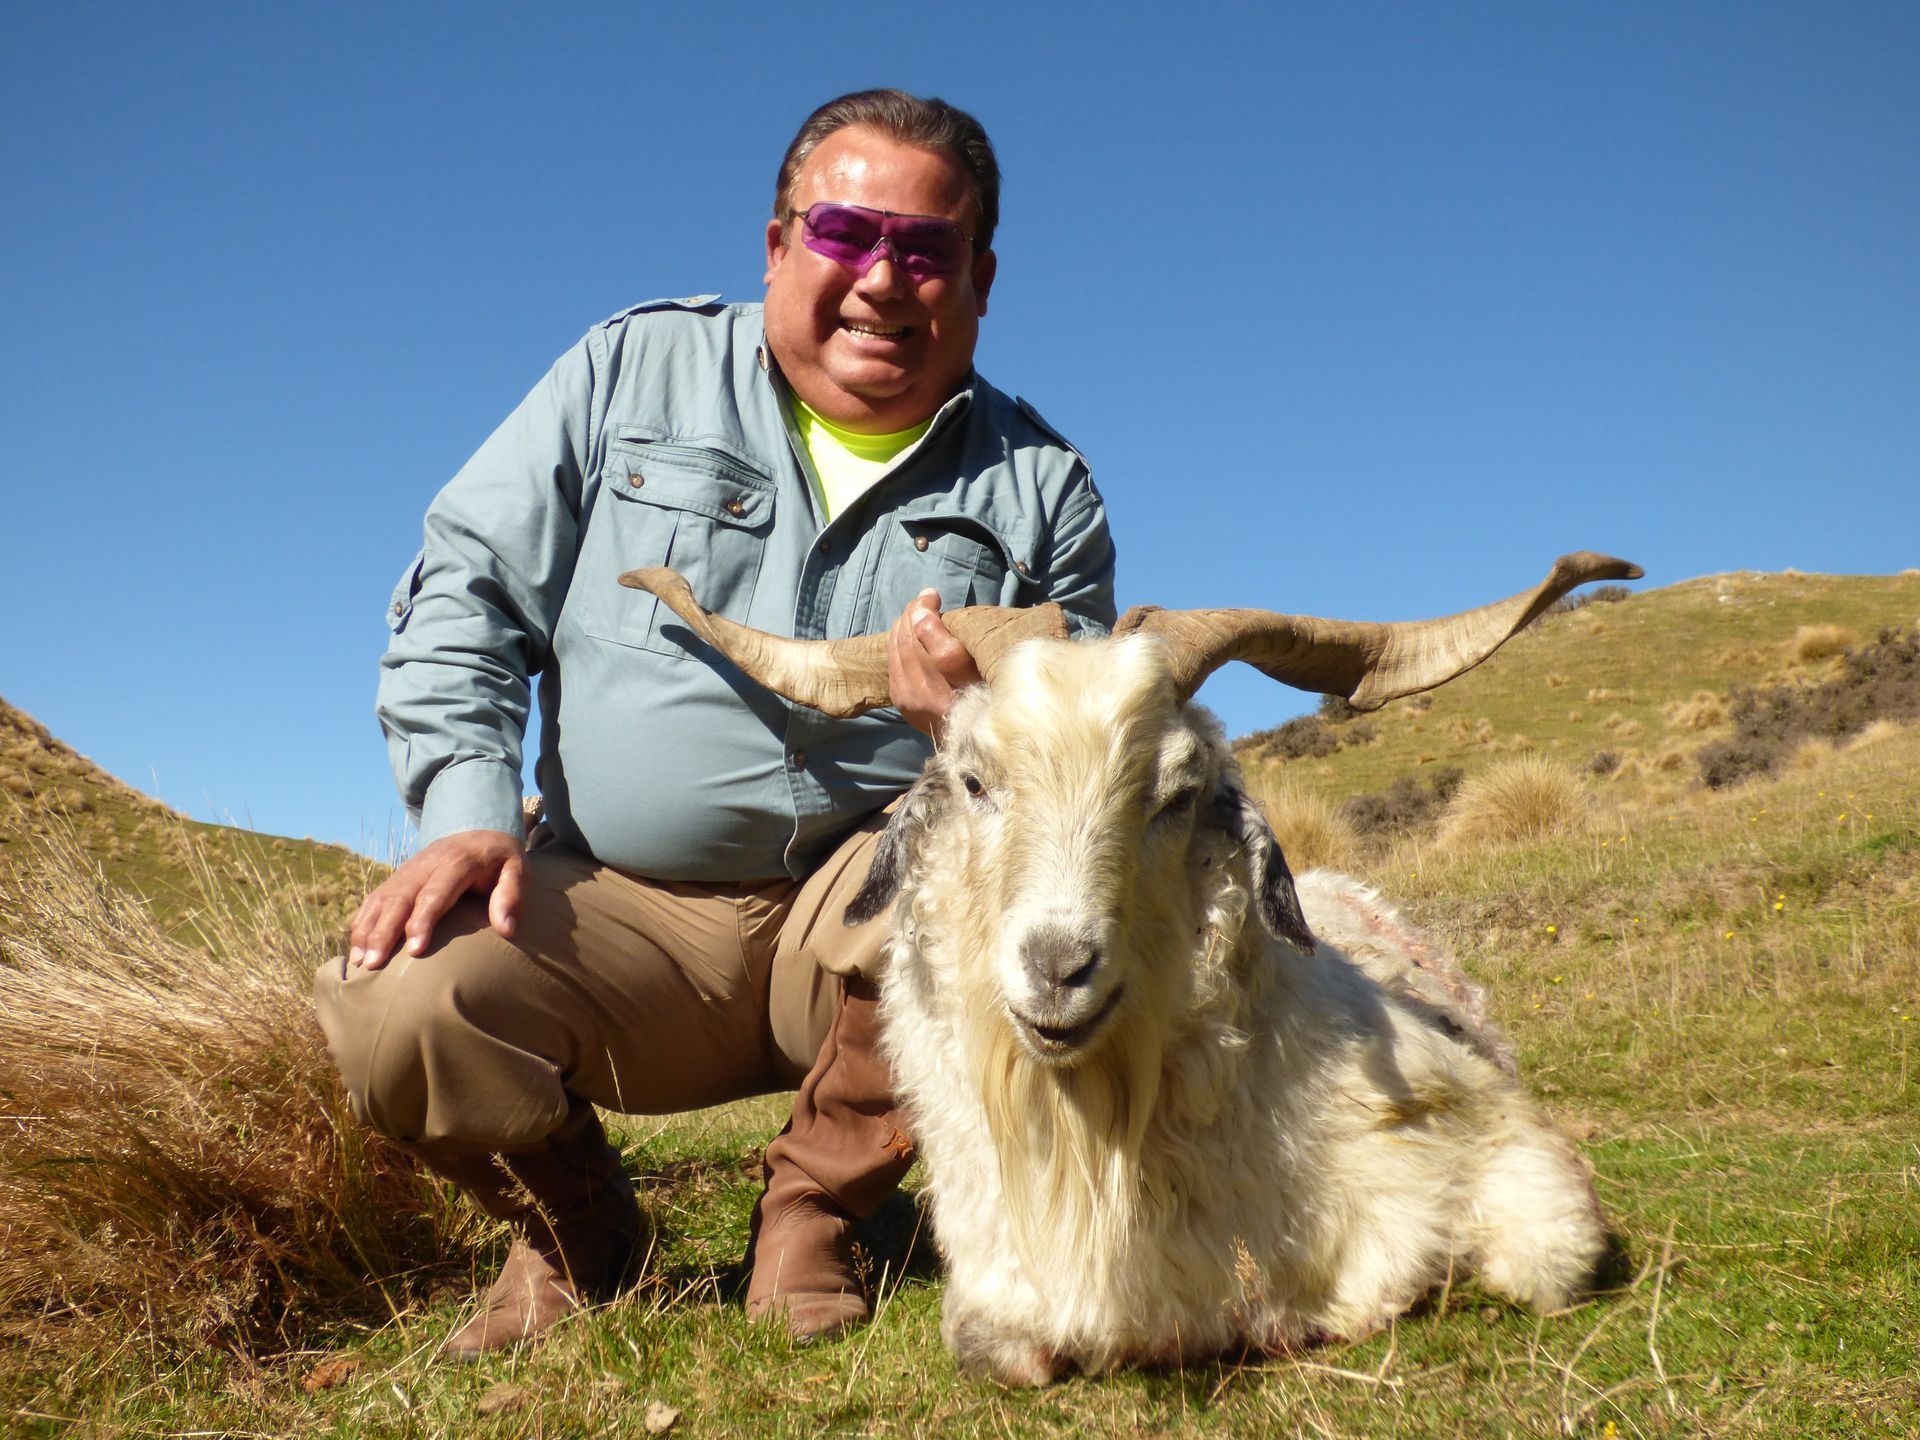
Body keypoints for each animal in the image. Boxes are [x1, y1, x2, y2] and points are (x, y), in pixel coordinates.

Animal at [623, 555, 1636, 1384]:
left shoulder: (1518, 1164)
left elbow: (1529, 1263)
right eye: (976, 780)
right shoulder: (999, 1282)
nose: (1058, 967)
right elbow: (998, 1350)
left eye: (1178, 793)